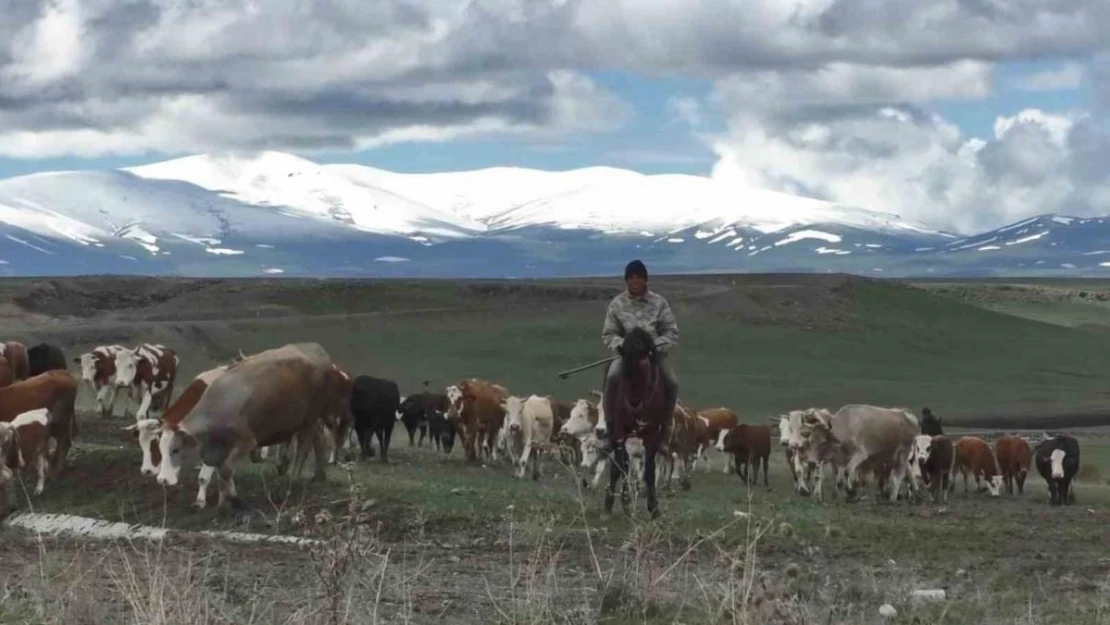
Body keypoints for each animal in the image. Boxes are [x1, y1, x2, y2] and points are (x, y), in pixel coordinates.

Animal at [153, 344, 333, 510]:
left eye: (175, 450)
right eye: (160, 449)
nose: (162, 480)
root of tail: (315, 348)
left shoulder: (246, 442)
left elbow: (222, 471)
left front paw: (229, 500)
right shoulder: (217, 450)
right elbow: (221, 473)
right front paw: (223, 502)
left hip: (310, 418)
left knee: (304, 447)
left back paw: (292, 481)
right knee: (317, 439)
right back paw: (318, 474)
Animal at [608, 326, 666, 521]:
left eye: (643, 363)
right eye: (624, 368)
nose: (633, 402)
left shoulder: (652, 434)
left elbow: (649, 470)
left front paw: (654, 508)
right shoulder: (620, 433)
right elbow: (623, 465)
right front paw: (626, 504)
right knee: (616, 465)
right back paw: (607, 506)